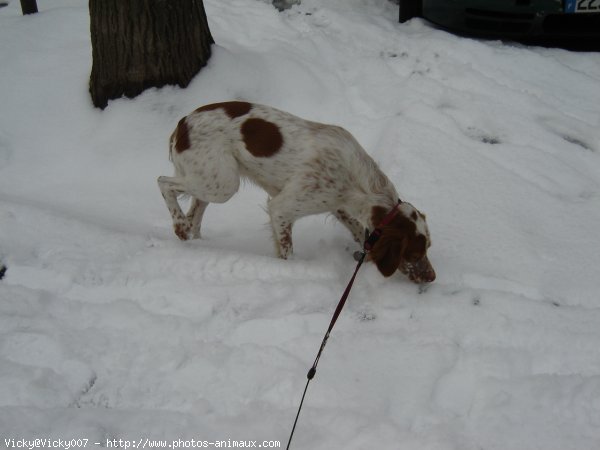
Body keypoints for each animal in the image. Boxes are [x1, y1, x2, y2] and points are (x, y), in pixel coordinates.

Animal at [157, 103, 434, 284]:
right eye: (414, 254)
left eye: (428, 248)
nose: (432, 277)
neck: (358, 181)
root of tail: (184, 121)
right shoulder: (282, 208)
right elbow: (287, 250)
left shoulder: (339, 205)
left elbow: (359, 231)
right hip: (223, 183)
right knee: (163, 182)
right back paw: (180, 227)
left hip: (211, 178)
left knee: (195, 211)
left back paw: (196, 240)